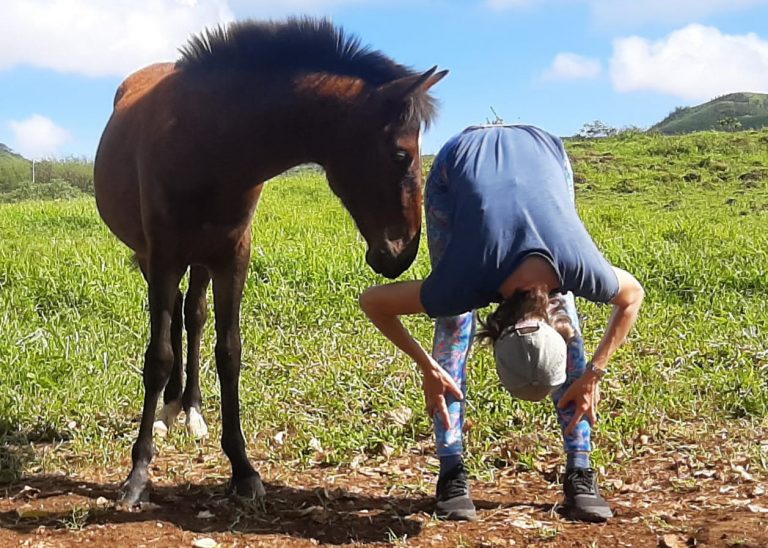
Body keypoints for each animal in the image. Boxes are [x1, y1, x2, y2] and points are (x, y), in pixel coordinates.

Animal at [93, 18, 447, 507]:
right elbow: (158, 356)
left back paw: (191, 408)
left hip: (201, 261)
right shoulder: (162, 256)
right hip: (157, 259)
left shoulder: (232, 258)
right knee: (177, 321)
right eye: (400, 154)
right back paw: (170, 407)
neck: (205, 139)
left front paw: (242, 468)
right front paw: (138, 473)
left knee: (193, 315)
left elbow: (229, 352)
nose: (401, 254)